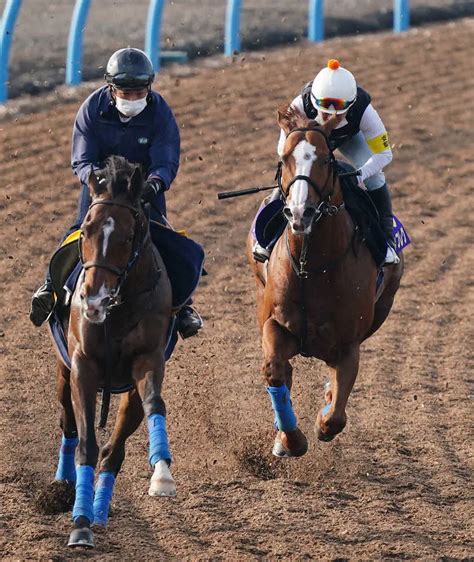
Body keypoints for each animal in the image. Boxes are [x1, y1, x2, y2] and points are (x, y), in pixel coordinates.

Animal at [54, 155, 176, 544]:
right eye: (87, 231)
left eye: (126, 237)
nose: (92, 300)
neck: (118, 308)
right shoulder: (83, 365)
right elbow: (86, 444)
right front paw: (79, 523)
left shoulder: (148, 360)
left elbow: (154, 405)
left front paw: (162, 473)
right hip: (64, 370)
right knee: (68, 423)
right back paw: (64, 485)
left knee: (114, 452)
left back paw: (100, 509)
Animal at [248, 107, 404, 458]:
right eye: (285, 158)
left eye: (323, 160)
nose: (300, 212)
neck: (312, 266)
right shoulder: (274, 323)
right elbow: (275, 371)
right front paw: (289, 440)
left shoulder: (348, 345)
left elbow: (334, 418)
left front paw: (322, 414)